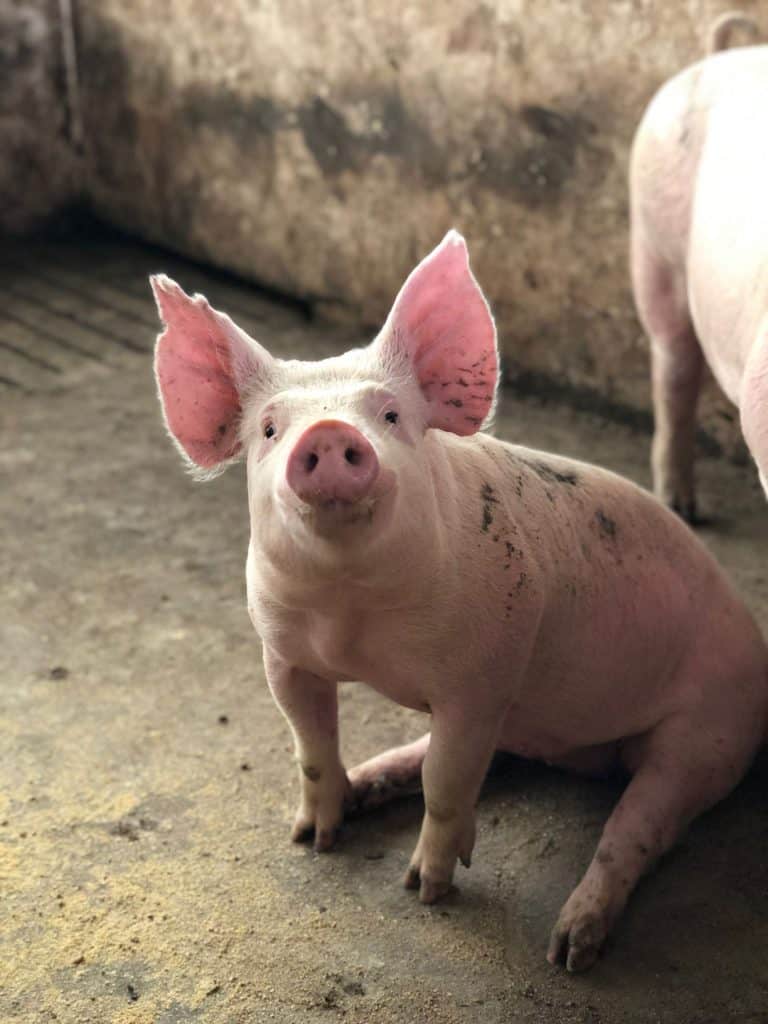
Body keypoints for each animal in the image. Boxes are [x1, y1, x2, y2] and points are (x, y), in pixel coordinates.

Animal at [151, 231, 768, 972]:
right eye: (270, 430)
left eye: (391, 416)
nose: (327, 434)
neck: (352, 614)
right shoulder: (282, 653)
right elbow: (311, 743)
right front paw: (312, 839)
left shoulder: (483, 674)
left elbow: (447, 782)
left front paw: (425, 890)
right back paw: (367, 786)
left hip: (711, 730)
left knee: (636, 829)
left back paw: (569, 948)